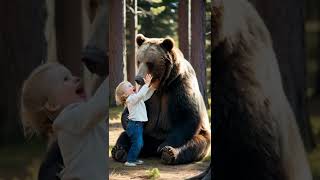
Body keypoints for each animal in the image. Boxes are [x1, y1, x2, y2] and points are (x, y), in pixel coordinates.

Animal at [111, 34, 211, 165]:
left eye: (149, 63)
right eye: (139, 61)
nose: (138, 79)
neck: (163, 84)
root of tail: (152, 149)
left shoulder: (179, 85)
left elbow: (188, 116)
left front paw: (166, 147)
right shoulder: (152, 97)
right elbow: (131, 111)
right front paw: (127, 119)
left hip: (203, 135)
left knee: (195, 143)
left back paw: (168, 152)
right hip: (148, 134)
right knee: (125, 136)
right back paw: (119, 150)